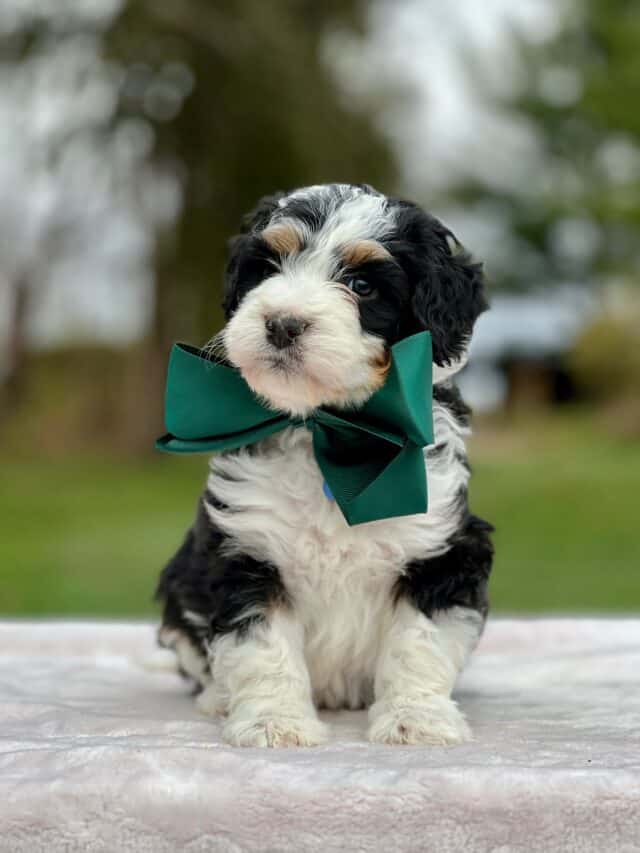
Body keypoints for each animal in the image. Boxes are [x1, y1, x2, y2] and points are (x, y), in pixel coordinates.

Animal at [156, 181, 496, 744]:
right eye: (269, 267)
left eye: (361, 285)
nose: (282, 324)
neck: (328, 432)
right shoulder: (246, 548)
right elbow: (261, 646)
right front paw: (274, 722)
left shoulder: (441, 550)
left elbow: (419, 641)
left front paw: (416, 719)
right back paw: (217, 699)